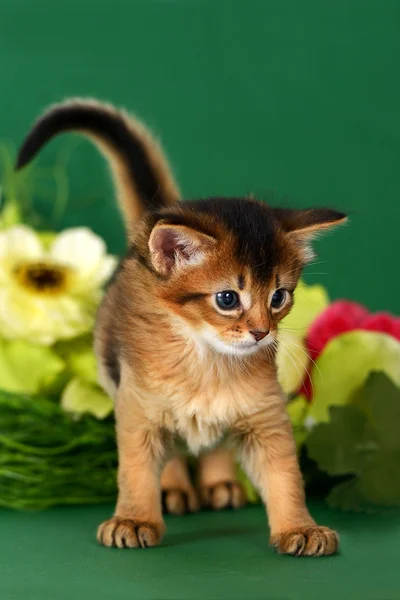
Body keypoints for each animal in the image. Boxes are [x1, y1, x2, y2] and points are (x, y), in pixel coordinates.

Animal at [17, 99, 346, 556]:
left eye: (279, 297)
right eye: (227, 299)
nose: (262, 333)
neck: (207, 364)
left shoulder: (266, 417)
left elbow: (285, 477)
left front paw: (300, 528)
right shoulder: (137, 410)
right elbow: (136, 470)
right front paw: (135, 519)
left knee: (213, 440)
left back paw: (221, 484)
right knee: (172, 451)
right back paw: (174, 491)